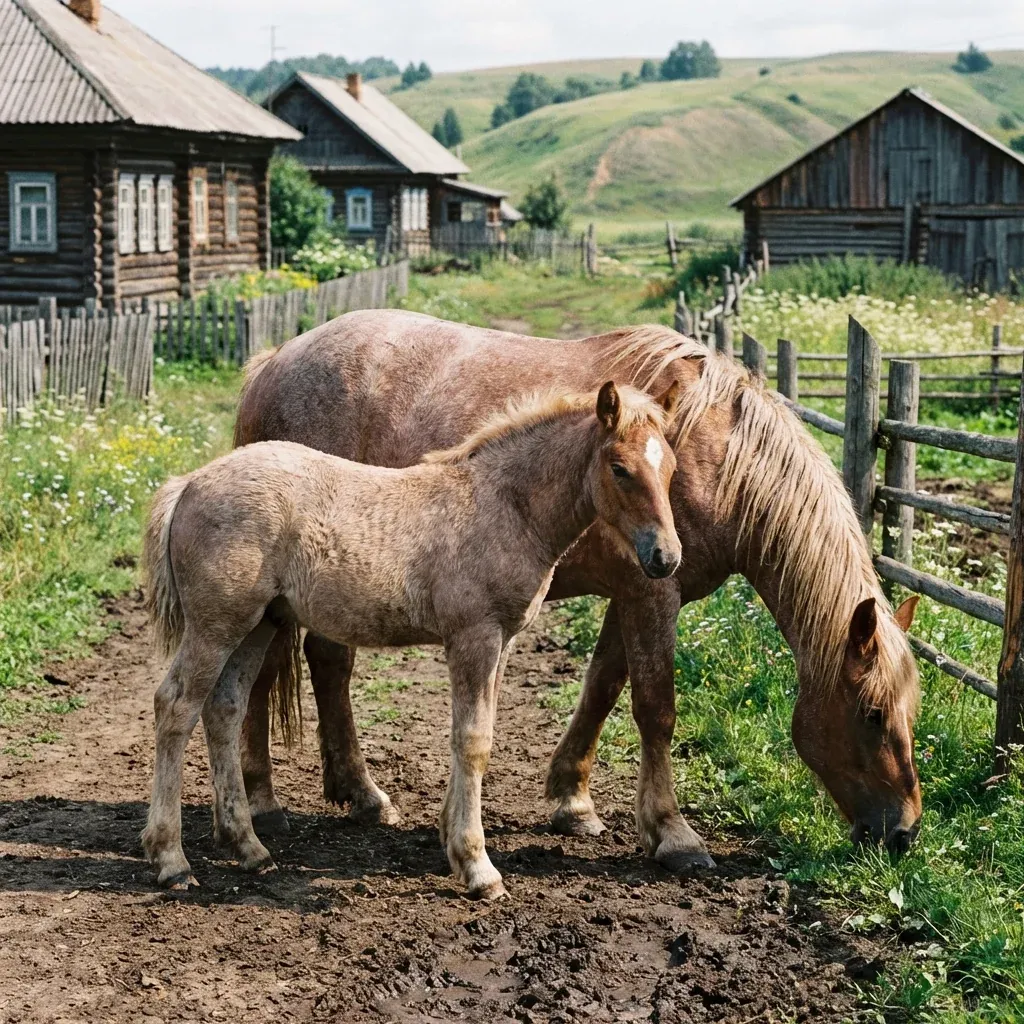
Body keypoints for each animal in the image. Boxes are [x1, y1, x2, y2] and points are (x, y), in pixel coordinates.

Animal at [141, 383, 682, 896]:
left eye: (672, 467)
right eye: (619, 468)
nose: (666, 557)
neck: (503, 506)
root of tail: (188, 483)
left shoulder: (501, 642)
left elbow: (475, 735)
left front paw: (451, 843)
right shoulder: (474, 637)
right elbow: (473, 740)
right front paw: (478, 868)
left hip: (259, 624)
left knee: (224, 709)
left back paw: (248, 847)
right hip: (217, 624)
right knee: (176, 705)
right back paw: (171, 859)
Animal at [233, 311, 923, 868]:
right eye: (871, 713)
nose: (904, 833)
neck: (720, 461)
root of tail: (275, 360)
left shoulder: (637, 590)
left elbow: (602, 687)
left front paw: (573, 800)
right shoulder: (653, 595)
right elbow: (655, 708)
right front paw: (673, 833)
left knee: (323, 665)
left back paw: (356, 793)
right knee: (272, 674)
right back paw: (273, 802)